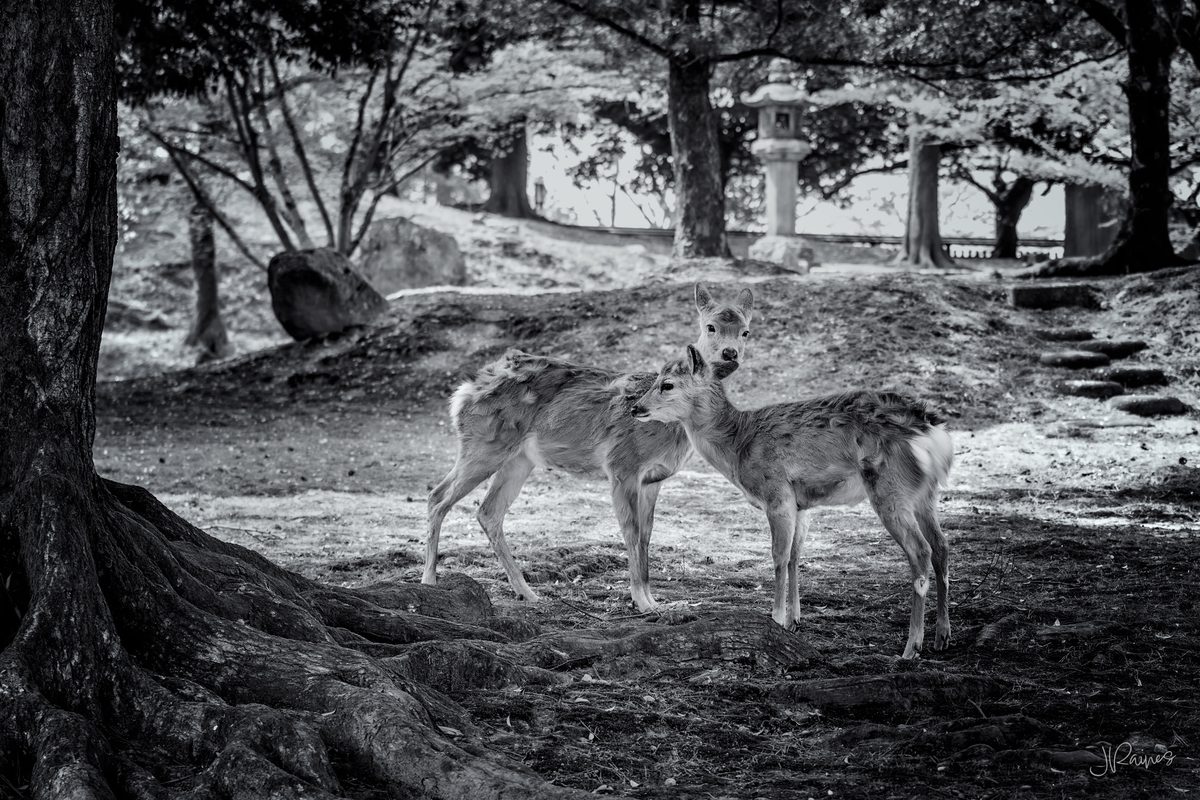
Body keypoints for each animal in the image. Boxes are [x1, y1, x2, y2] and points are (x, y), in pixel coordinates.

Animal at [424, 284, 755, 612]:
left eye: (745, 331)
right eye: (710, 326)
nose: (730, 354)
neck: (671, 428)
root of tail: (464, 391)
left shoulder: (653, 479)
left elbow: (647, 536)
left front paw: (653, 601)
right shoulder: (622, 465)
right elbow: (631, 531)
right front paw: (641, 601)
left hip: (518, 459)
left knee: (488, 511)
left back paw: (528, 592)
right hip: (484, 444)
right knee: (438, 496)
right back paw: (429, 580)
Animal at [629, 345, 953, 659]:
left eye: (667, 384)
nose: (635, 408)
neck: (739, 446)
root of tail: (933, 434)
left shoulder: (777, 493)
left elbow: (779, 556)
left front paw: (775, 618)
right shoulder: (801, 504)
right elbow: (797, 555)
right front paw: (793, 621)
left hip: (890, 486)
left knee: (921, 550)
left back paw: (912, 647)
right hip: (924, 493)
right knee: (941, 546)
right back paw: (942, 636)